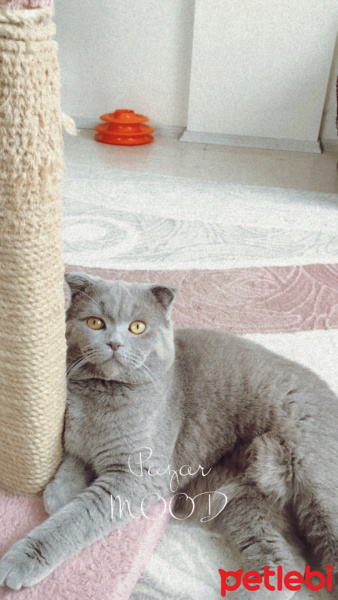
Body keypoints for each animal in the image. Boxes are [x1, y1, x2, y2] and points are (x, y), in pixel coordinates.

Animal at [0, 274, 338, 596]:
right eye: (95, 322)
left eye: (137, 327)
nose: (114, 343)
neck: (100, 398)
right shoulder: (77, 438)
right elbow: (72, 461)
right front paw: (59, 495)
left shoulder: (138, 475)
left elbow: (74, 520)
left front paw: (19, 560)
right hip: (244, 503)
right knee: (282, 563)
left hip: (315, 482)